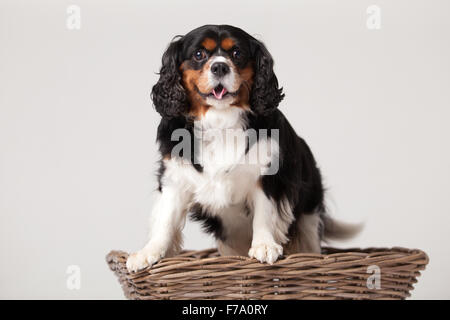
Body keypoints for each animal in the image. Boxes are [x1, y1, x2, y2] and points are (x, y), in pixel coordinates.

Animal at [126, 23, 362, 272]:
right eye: (199, 54)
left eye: (237, 53)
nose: (220, 66)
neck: (220, 120)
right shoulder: (174, 178)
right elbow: (165, 219)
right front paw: (148, 252)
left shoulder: (268, 177)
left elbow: (264, 213)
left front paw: (264, 245)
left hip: (309, 216)